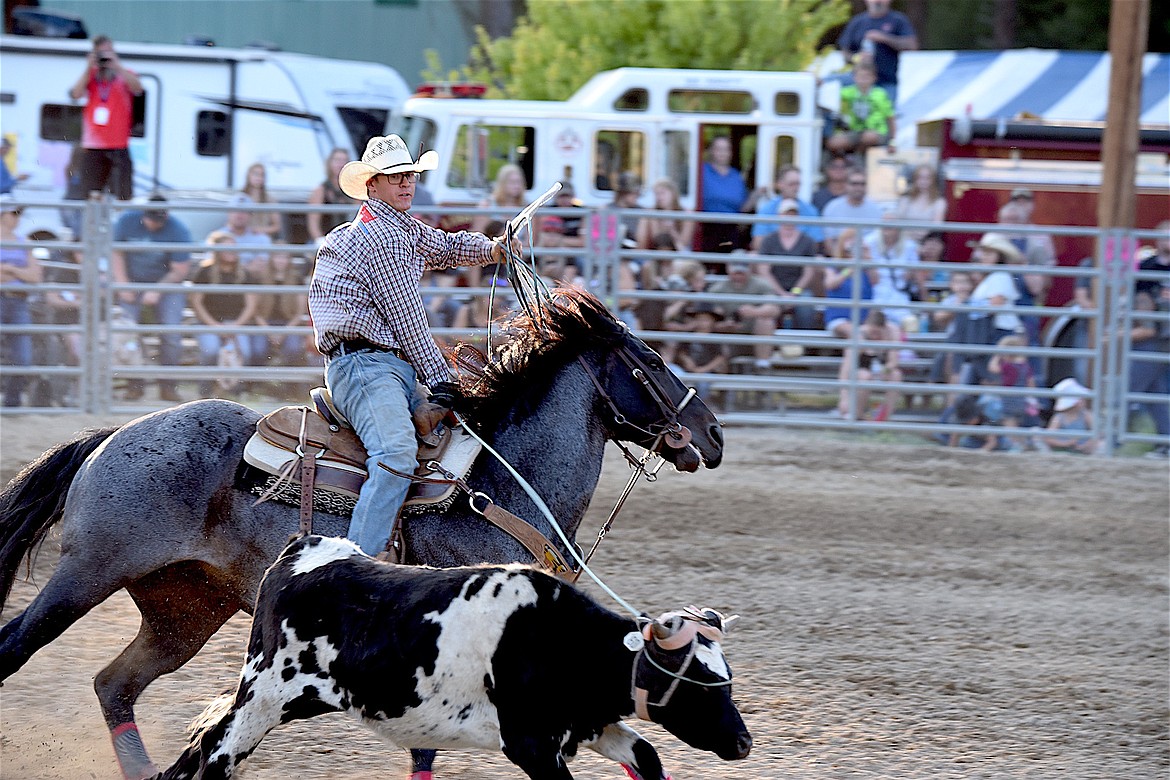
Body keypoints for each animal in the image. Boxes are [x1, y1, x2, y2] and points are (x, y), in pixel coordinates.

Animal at [0, 288, 725, 780]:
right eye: (652, 360)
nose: (713, 435)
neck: (503, 481)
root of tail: (112, 437)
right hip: (88, 572)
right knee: (16, 647)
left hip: (183, 611)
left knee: (114, 685)